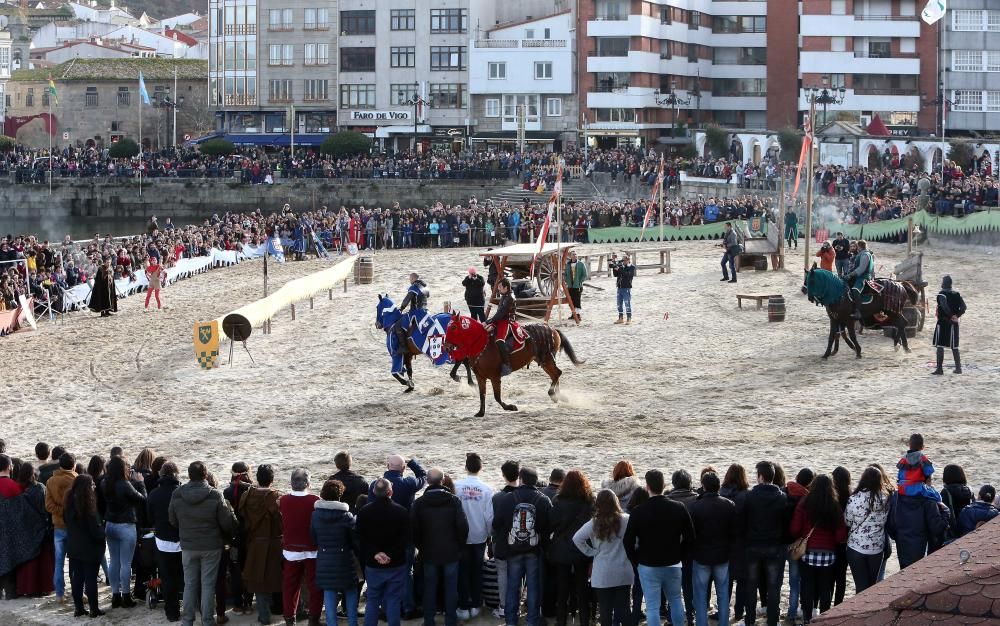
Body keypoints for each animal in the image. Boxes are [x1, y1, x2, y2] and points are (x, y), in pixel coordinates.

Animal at [446, 310, 584, 414]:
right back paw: (559, 396)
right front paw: (481, 412)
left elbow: (496, 396)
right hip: (544, 361)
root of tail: (553, 330)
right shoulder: (480, 377)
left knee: (557, 374)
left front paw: (510, 407)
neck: (481, 343)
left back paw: (553, 394)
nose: (446, 346)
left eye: (453, 327)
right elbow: (482, 395)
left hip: (547, 359)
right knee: (555, 374)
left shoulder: (495, 377)